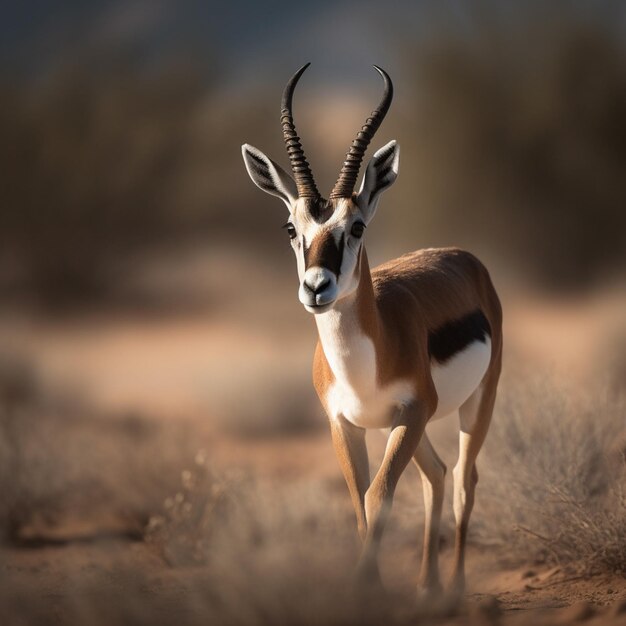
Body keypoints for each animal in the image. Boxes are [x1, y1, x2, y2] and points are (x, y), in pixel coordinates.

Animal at [241, 64, 500, 596]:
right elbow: (360, 503)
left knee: (464, 482)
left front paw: (367, 588)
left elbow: (379, 497)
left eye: (356, 226)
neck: (366, 362)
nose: (316, 287)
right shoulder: (346, 424)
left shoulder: (411, 413)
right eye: (292, 228)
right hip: (413, 425)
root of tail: (464, 258)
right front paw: (371, 590)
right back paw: (427, 587)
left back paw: (455, 588)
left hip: (474, 405)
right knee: (437, 474)